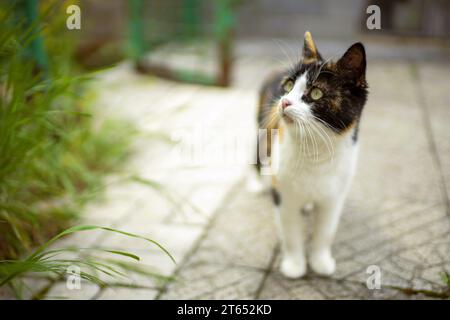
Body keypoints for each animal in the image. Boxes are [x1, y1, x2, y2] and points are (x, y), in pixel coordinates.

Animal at [256, 31, 370, 278]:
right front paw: (294, 265)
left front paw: (321, 261)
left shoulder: (334, 197)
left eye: (316, 92)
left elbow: (325, 231)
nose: (284, 101)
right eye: (289, 85)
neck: (314, 150)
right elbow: (291, 232)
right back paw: (257, 184)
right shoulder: (284, 195)